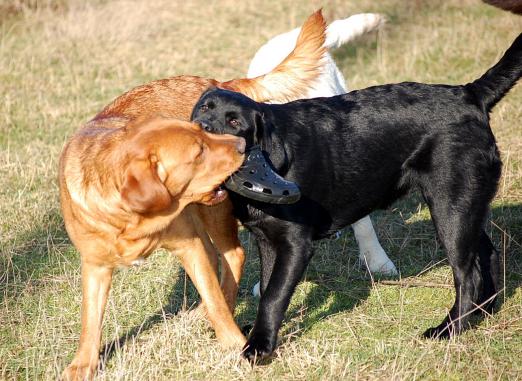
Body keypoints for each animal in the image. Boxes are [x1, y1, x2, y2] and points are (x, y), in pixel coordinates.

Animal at [60, 10, 324, 378]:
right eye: (198, 151)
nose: (240, 146)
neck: (130, 220)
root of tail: (224, 82)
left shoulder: (188, 246)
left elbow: (214, 296)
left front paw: (234, 343)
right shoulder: (95, 266)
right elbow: (90, 320)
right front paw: (83, 364)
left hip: (212, 214)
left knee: (232, 257)